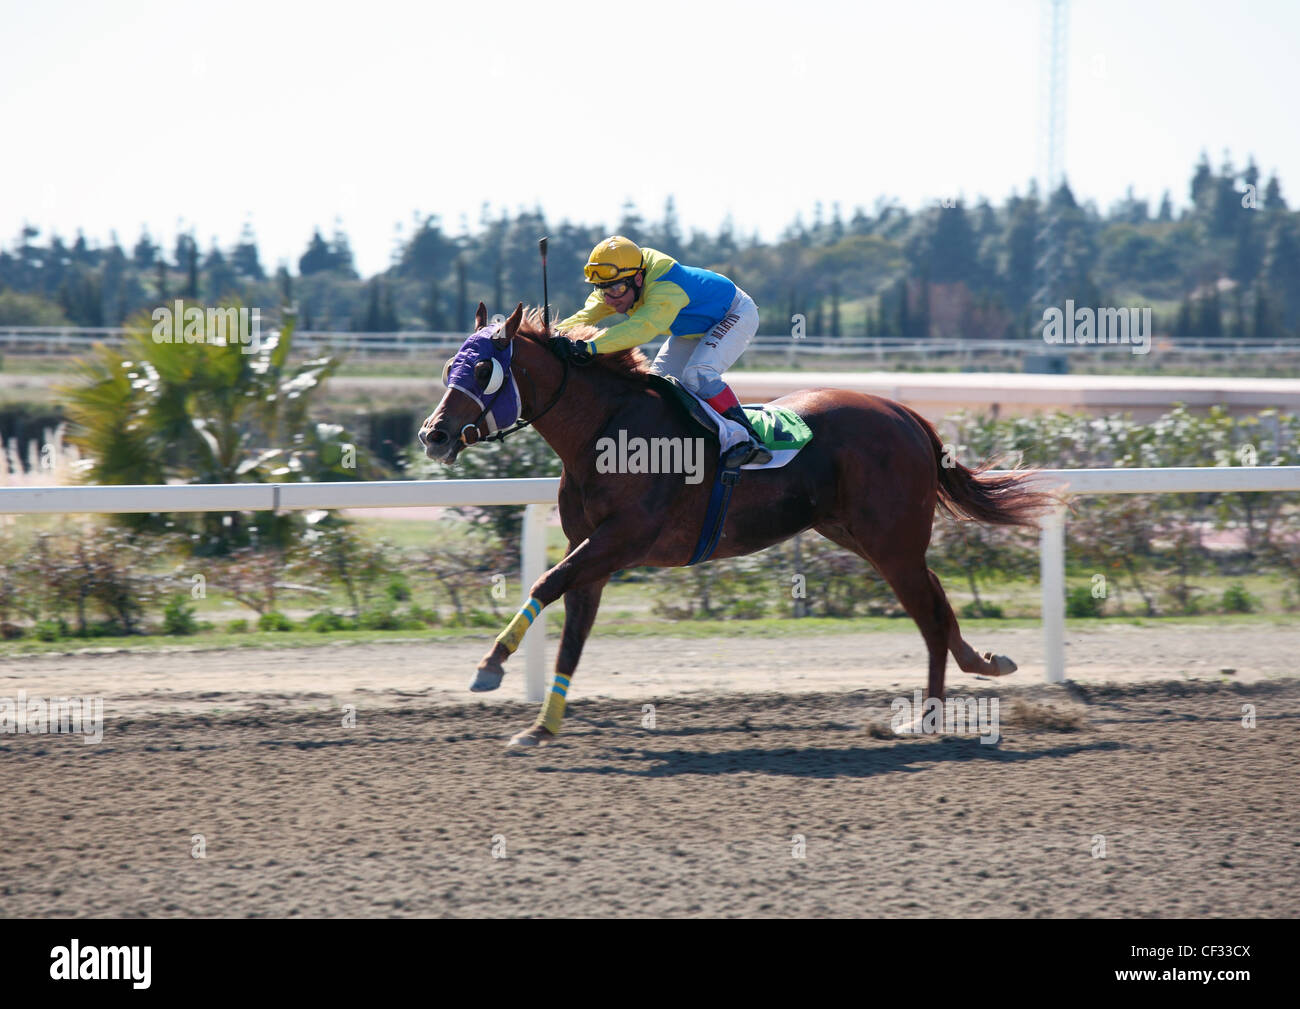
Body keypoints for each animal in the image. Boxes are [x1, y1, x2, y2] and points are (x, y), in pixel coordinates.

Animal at [421, 302, 1050, 743]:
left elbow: (544, 583)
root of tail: (905, 413)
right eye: (449, 364)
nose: (434, 434)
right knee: (938, 600)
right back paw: (983, 664)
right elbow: (572, 636)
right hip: (860, 535)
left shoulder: (620, 539)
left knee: (928, 614)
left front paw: (489, 667)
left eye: (483, 368)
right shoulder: (593, 553)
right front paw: (541, 726)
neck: (604, 429)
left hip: (891, 542)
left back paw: (928, 716)